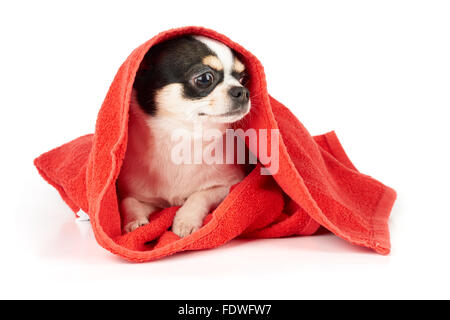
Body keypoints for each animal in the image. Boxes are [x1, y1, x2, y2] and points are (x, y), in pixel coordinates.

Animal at [117, 35, 250, 238]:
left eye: (242, 78)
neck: (182, 137)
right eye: (204, 78)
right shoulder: (137, 194)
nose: (242, 91)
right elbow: (128, 202)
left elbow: (199, 195)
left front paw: (185, 221)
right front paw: (135, 223)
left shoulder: (229, 185)